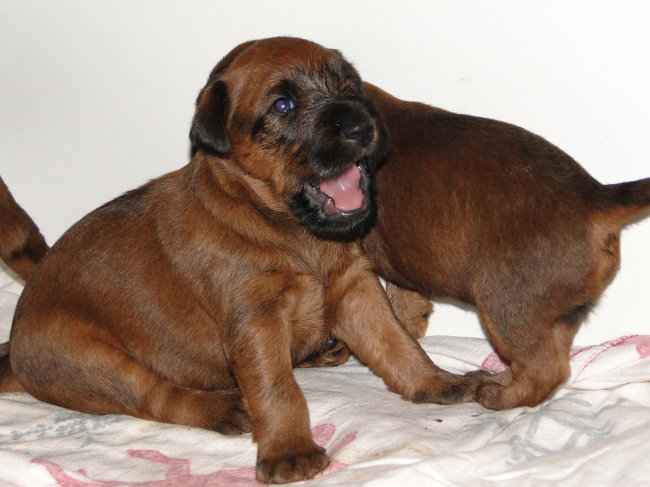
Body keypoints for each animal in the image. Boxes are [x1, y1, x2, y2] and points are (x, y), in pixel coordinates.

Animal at [0, 38, 480, 484]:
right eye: (283, 105)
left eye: (350, 85)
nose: (363, 126)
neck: (289, 232)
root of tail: (16, 353)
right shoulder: (256, 319)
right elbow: (277, 389)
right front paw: (289, 449)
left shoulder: (355, 288)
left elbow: (396, 344)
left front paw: (438, 383)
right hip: (90, 356)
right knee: (156, 396)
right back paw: (223, 408)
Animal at [358, 83, 650, 410]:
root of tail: (595, 196)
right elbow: (404, 304)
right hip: (555, 316)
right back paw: (497, 381)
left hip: (505, 307)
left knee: (545, 370)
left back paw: (498, 396)